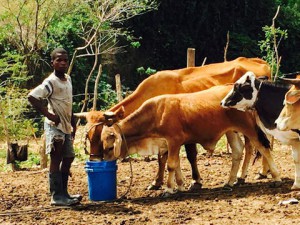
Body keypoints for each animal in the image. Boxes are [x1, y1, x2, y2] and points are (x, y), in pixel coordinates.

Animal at [76, 57, 270, 189]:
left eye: (101, 134)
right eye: (88, 136)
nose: (94, 160)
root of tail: (257, 61)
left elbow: (178, 157)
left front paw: (192, 181)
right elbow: (167, 158)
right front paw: (162, 181)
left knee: (259, 144)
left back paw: (254, 173)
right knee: (251, 146)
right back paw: (251, 174)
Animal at [101, 85, 282, 194]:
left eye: (110, 147)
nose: (105, 162)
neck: (156, 113)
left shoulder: (174, 140)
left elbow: (171, 165)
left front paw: (169, 189)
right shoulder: (167, 144)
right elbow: (176, 164)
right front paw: (180, 185)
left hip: (249, 129)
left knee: (264, 149)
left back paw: (276, 177)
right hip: (231, 131)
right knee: (238, 152)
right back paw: (230, 182)